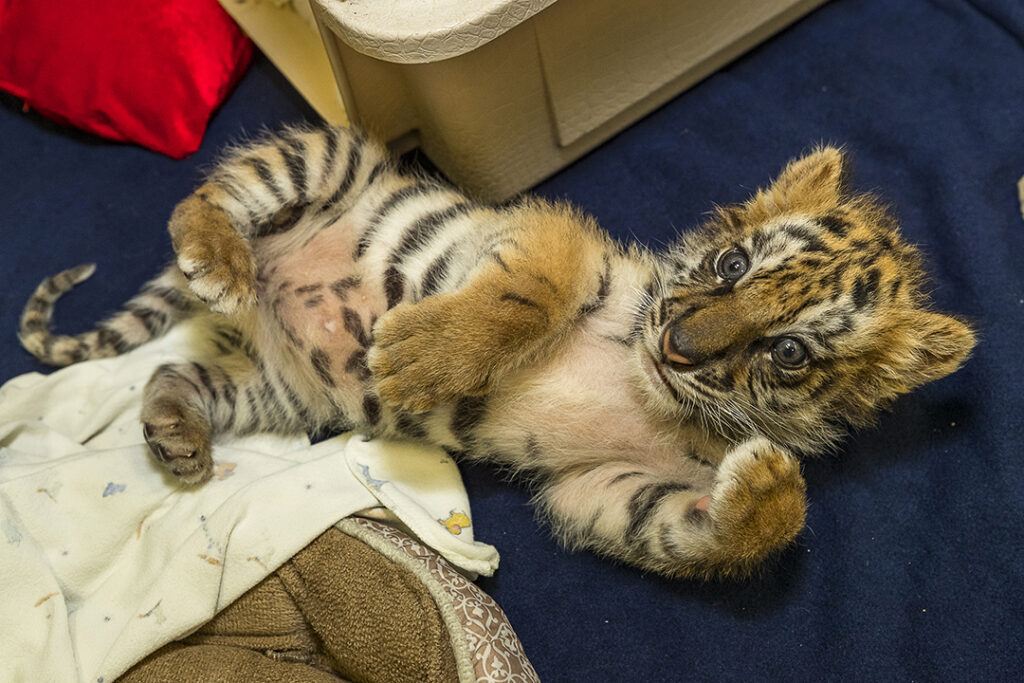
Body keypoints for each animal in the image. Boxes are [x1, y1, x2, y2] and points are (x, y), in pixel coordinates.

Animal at [18, 125, 975, 579]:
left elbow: (699, 527)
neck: (652, 388)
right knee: (196, 198)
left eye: (789, 353)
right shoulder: (560, 243)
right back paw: (216, 257)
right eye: (733, 264)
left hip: (285, 394)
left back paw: (178, 435)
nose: (678, 345)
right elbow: (524, 296)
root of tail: (258, 294)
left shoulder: (599, 486)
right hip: (320, 159)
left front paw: (772, 484)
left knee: (170, 368)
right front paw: (418, 357)